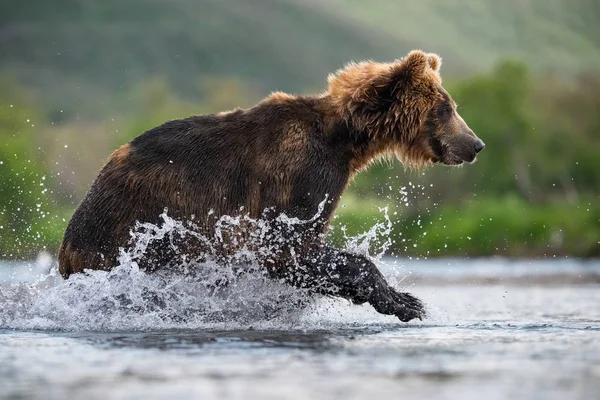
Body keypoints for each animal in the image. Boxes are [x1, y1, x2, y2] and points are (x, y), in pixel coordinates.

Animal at [59, 50, 482, 322]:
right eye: (446, 108)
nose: (475, 144)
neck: (345, 139)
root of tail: (66, 248)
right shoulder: (297, 178)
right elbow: (287, 246)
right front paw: (405, 302)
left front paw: (403, 298)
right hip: (130, 230)